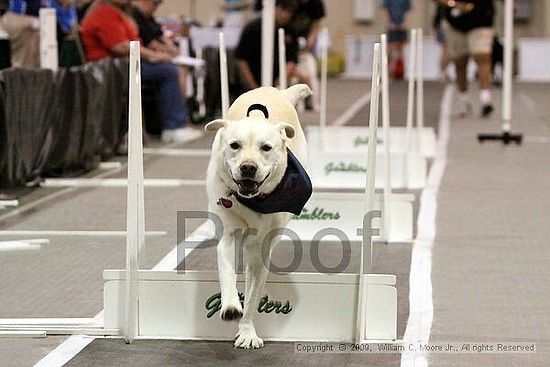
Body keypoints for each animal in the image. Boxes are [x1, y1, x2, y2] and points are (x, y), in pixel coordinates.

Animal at [205, 85, 312, 350]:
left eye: (266, 148)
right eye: (234, 145)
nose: (248, 167)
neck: (254, 201)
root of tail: (274, 89)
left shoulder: (261, 251)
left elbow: (253, 294)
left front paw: (247, 331)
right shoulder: (228, 235)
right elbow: (227, 273)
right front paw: (231, 306)